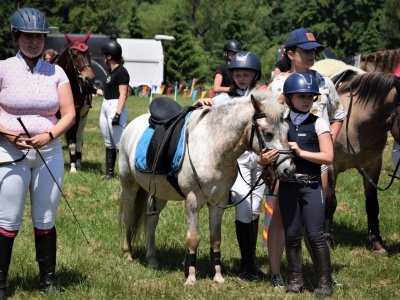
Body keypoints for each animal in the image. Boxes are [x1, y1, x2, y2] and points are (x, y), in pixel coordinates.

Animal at [52, 31, 95, 172]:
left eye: (90, 53)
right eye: (75, 54)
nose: (89, 79)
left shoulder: (75, 114)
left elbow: (73, 142)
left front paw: (73, 167)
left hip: (83, 116)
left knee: (79, 136)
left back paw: (78, 160)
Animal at [117, 89, 296, 286]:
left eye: (287, 131)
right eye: (268, 133)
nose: (288, 169)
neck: (213, 148)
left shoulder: (219, 202)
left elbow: (215, 239)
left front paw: (217, 276)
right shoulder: (193, 200)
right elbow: (193, 239)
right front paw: (191, 278)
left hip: (160, 194)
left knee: (151, 221)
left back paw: (152, 259)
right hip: (129, 185)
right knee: (128, 217)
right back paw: (127, 254)